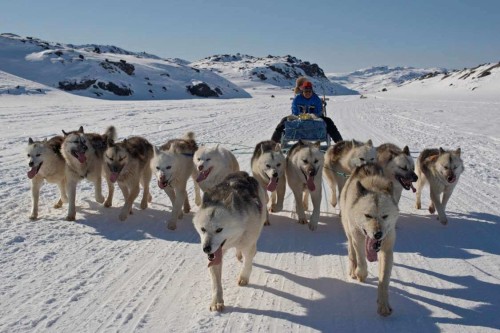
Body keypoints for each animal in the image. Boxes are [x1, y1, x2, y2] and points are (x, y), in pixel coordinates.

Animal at [191, 171, 266, 312]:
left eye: (219, 230)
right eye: (203, 229)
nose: (206, 249)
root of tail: (243, 173)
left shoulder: (248, 244)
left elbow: (247, 263)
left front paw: (244, 277)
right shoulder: (215, 257)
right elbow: (216, 284)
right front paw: (217, 301)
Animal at [338, 163, 400, 316]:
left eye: (385, 216)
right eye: (368, 215)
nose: (378, 234)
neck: (373, 185)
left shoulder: (387, 249)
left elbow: (384, 280)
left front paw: (383, 304)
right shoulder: (358, 238)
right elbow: (361, 260)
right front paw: (360, 273)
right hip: (349, 230)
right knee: (351, 251)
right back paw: (352, 268)